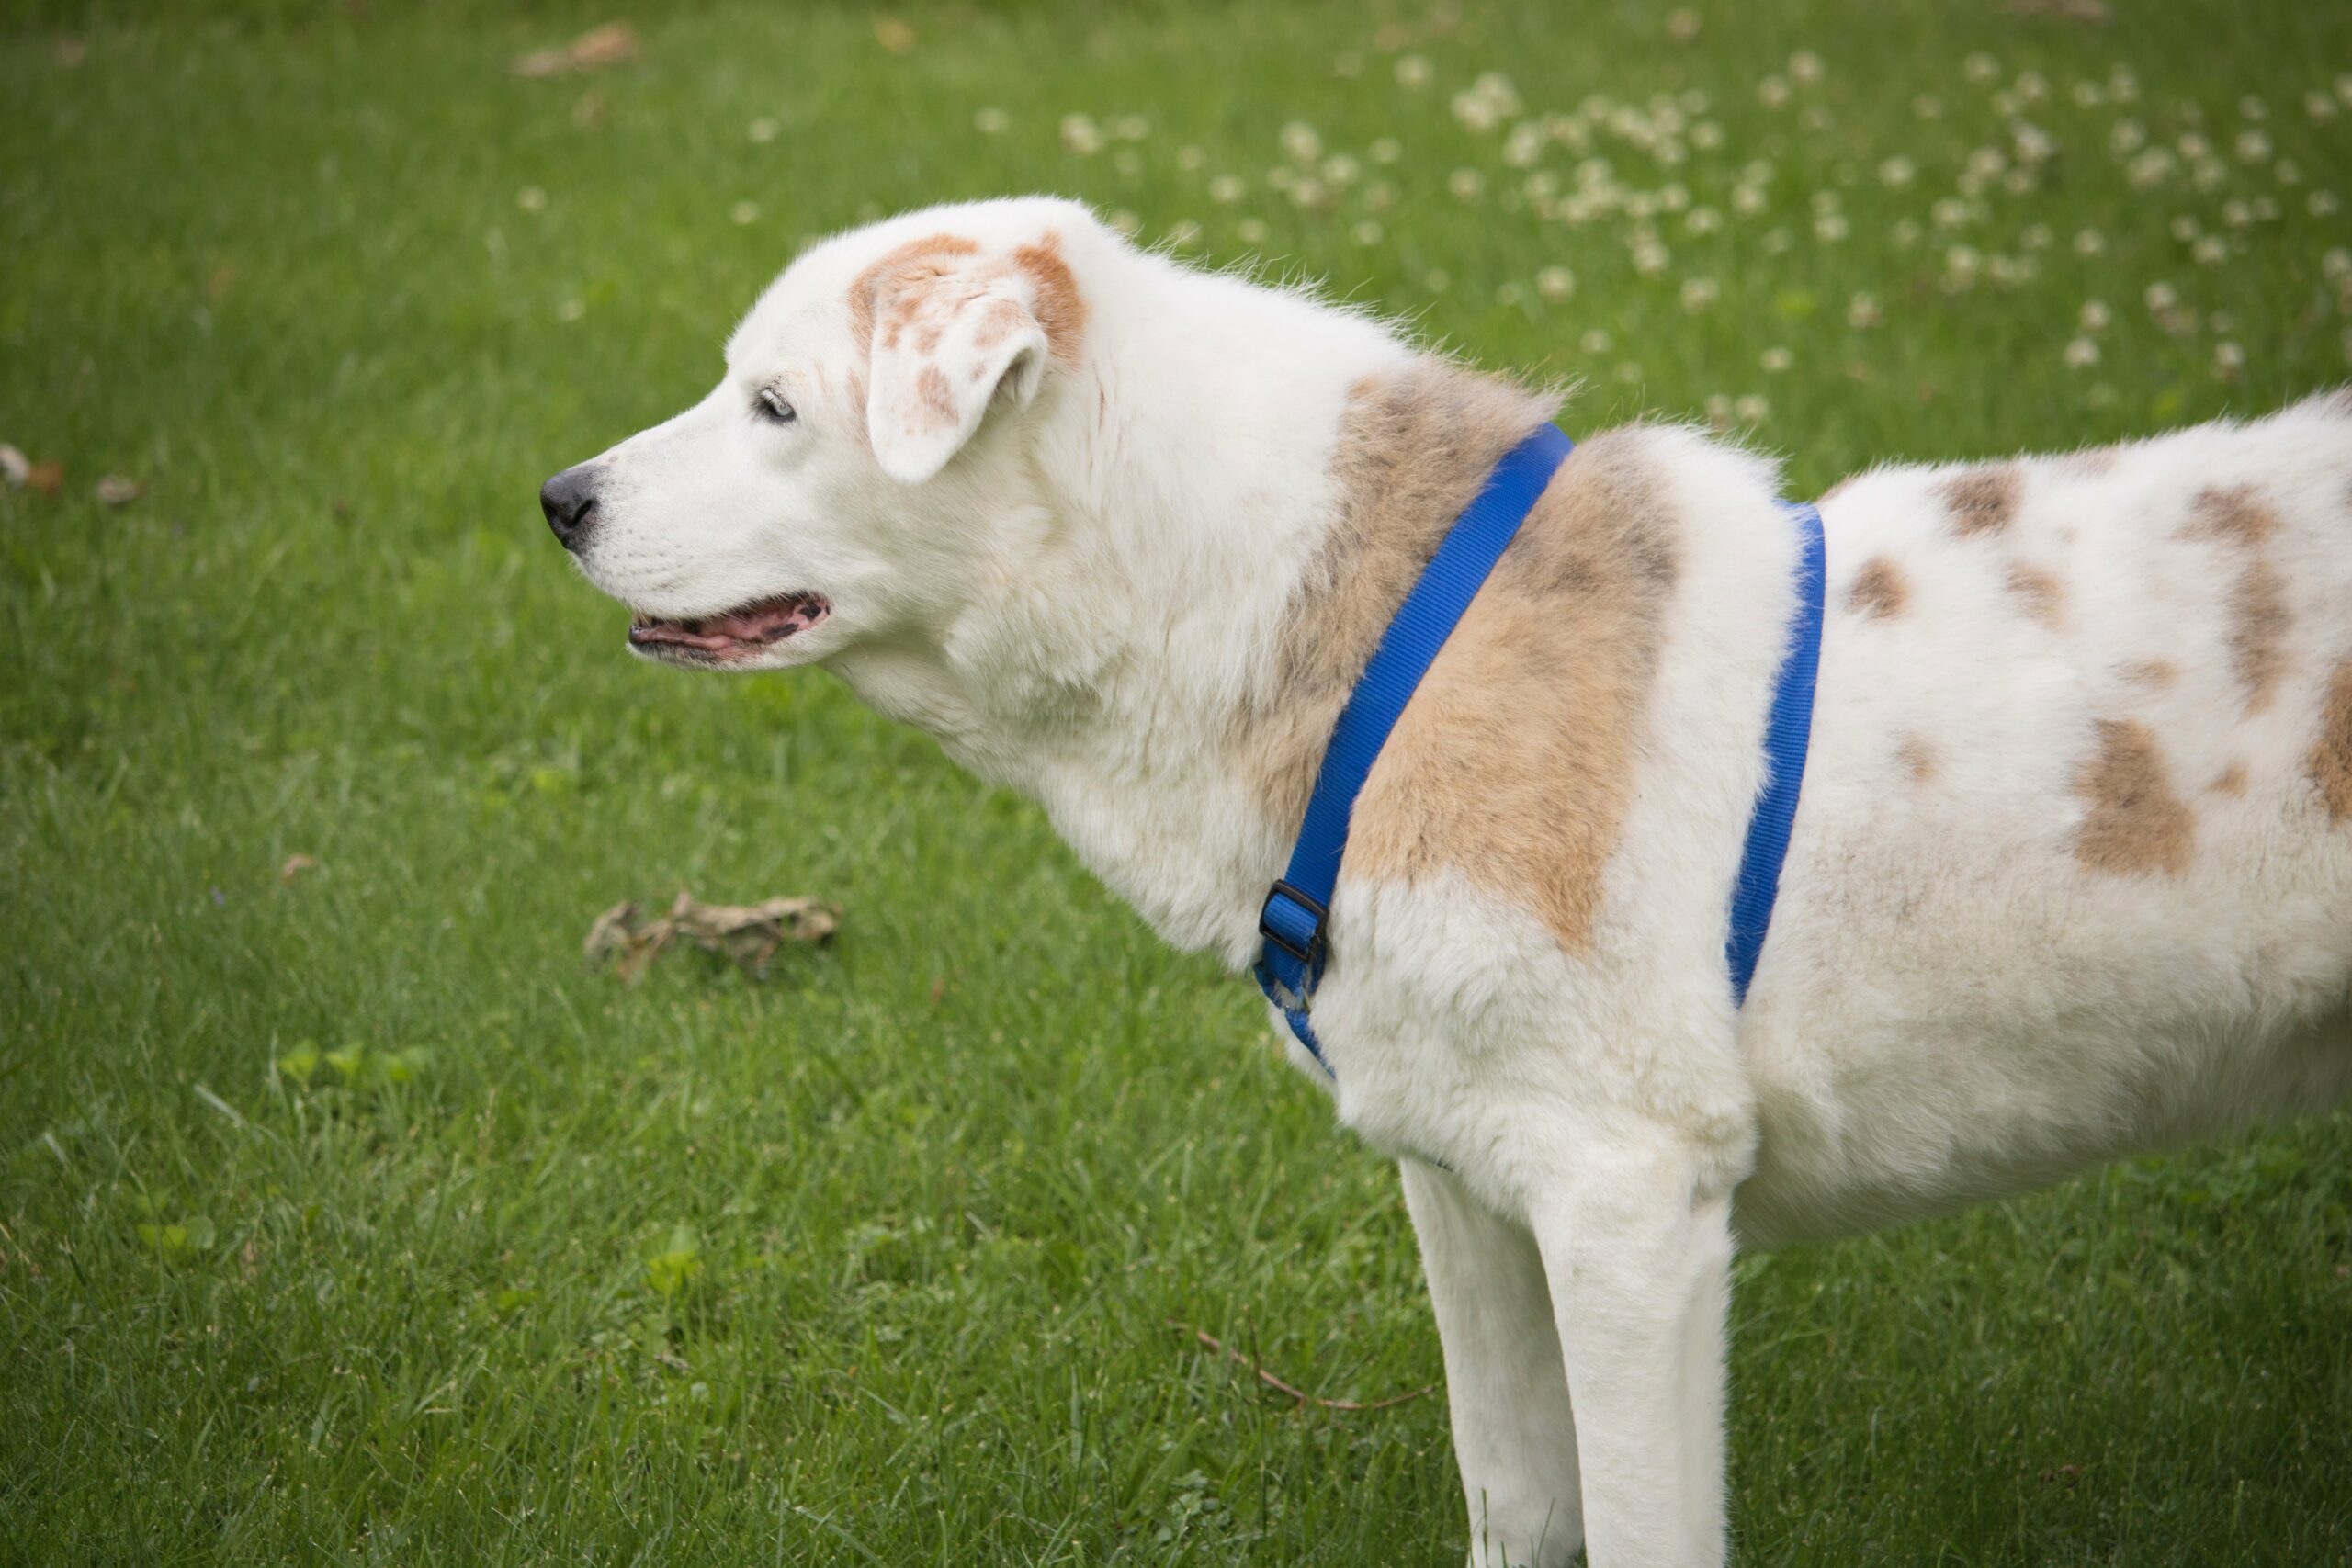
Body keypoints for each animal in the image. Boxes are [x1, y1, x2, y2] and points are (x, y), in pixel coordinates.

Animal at [540, 199, 2352, 1568]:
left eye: (778, 407)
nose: (558, 500)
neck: (1381, 664)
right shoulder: (1467, 1186)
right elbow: (1518, 1499)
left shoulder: (1629, 1210)